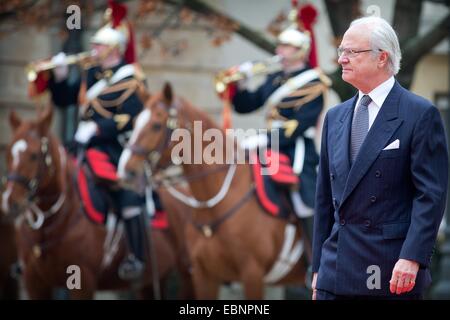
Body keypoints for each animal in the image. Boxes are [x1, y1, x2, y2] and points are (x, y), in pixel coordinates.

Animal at [1, 107, 195, 300]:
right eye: (8, 152)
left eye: (34, 156)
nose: (10, 201)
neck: (50, 226)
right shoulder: (34, 282)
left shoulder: (83, 280)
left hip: (189, 274)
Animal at [118, 84, 310, 298]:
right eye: (135, 122)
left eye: (157, 125)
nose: (126, 171)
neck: (212, 206)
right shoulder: (204, 275)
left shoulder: (252, 274)